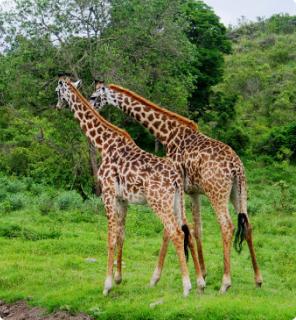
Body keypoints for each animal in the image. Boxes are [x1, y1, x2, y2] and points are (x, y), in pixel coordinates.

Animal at [55, 76, 206, 296]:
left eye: (57, 91)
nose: (58, 105)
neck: (104, 144)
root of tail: (176, 178)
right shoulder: (122, 198)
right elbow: (121, 235)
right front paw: (118, 278)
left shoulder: (107, 193)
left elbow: (110, 237)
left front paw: (107, 285)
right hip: (177, 201)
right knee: (186, 230)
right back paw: (200, 282)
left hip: (159, 202)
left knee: (176, 233)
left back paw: (186, 286)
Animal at [89, 82, 262, 292]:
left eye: (94, 96)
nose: (91, 105)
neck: (167, 134)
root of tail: (237, 167)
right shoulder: (193, 191)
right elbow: (196, 229)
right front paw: (202, 274)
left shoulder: (174, 189)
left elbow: (170, 231)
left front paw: (155, 278)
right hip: (238, 191)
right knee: (248, 225)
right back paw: (258, 278)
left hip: (217, 192)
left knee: (227, 226)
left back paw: (225, 282)